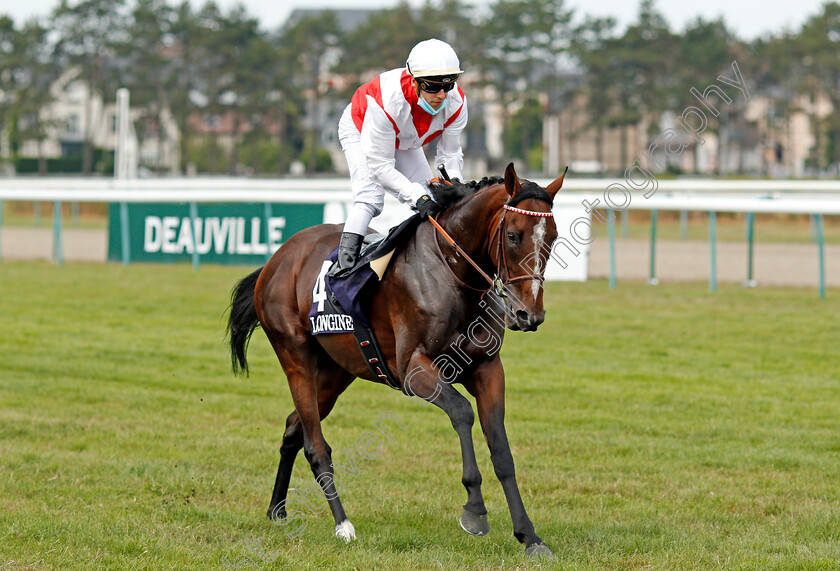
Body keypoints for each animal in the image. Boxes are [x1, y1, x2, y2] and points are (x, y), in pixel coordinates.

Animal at [226, 162, 568, 560]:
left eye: (553, 237)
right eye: (513, 236)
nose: (529, 315)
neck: (452, 271)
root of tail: (277, 257)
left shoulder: (487, 369)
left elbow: (501, 449)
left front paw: (529, 536)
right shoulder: (414, 369)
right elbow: (462, 413)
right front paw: (475, 510)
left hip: (335, 373)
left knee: (294, 429)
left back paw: (277, 509)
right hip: (294, 357)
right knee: (315, 445)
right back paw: (343, 525)